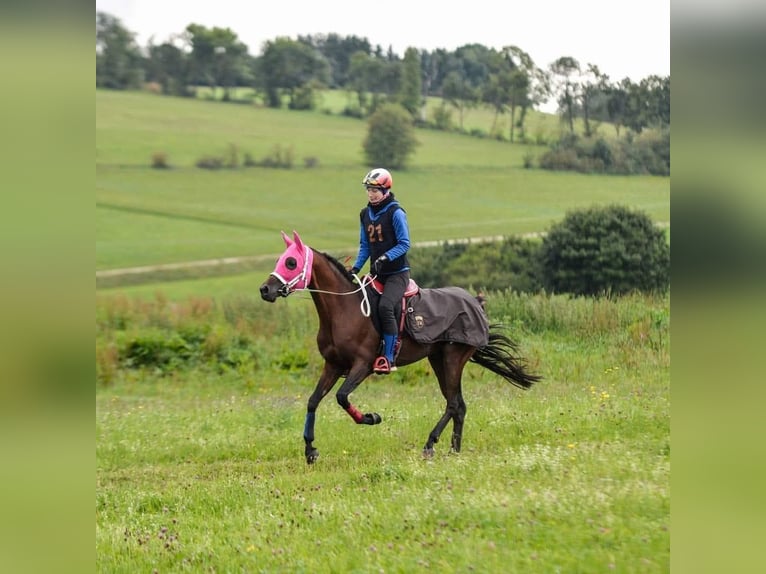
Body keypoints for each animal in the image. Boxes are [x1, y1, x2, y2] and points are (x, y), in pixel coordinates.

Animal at [259, 230, 541, 464]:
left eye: (291, 262)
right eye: (282, 260)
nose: (265, 289)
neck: (344, 309)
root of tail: (475, 302)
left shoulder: (363, 365)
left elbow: (341, 397)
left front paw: (371, 417)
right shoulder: (333, 365)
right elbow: (312, 401)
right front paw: (310, 450)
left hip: (453, 358)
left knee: (453, 404)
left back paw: (430, 444)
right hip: (438, 359)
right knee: (459, 404)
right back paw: (454, 450)